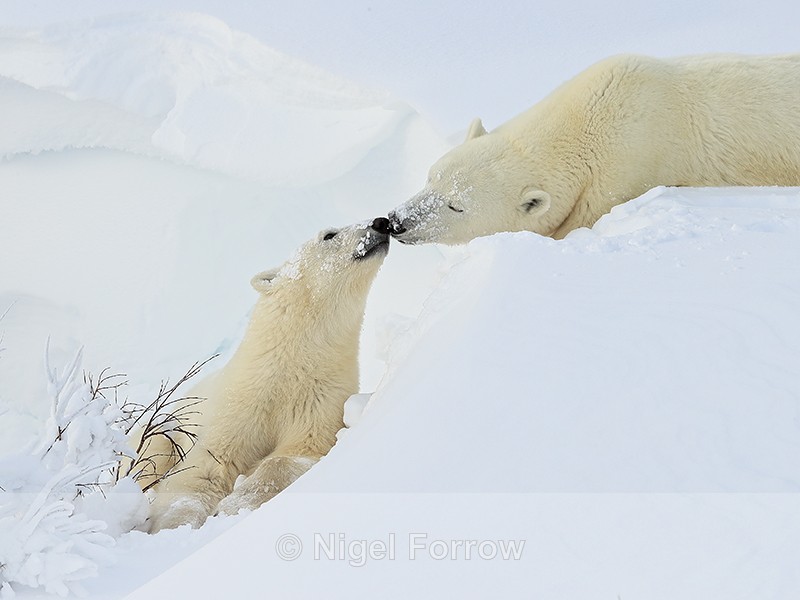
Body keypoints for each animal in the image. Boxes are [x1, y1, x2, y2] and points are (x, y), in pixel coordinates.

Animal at [145, 218, 392, 533]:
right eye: (329, 235)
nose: (381, 222)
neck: (286, 363)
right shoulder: (238, 401)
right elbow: (206, 466)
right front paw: (176, 525)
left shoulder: (320, 395)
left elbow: (294, 453)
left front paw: (234, 503)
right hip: (168, 421)